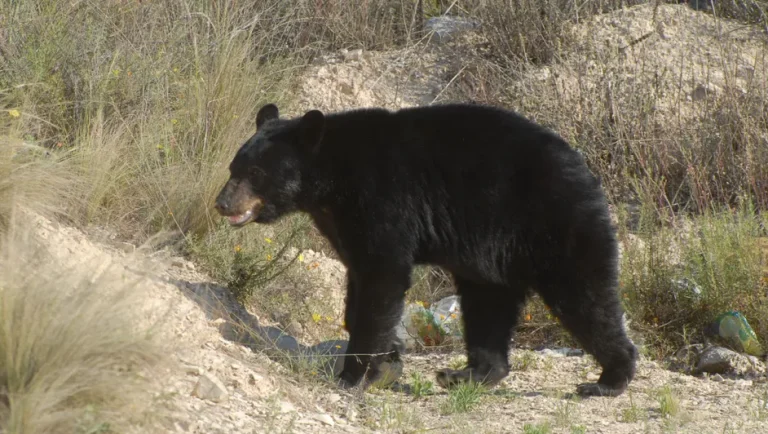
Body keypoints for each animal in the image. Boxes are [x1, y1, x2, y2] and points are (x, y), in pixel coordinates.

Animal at [213, 101, 640, 396]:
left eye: (255, 173)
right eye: (234, 167)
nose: (222, 203)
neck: (331, 180)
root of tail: (587, 171)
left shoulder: (382, 200)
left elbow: (382, 278)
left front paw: (354, 375)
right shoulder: (343, 223)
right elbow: (358, 281)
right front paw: (388, 361)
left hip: (554, 225)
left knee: (586, 298)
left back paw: (608, 379)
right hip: (492, 257)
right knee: (488, 306)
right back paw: (466, 374)